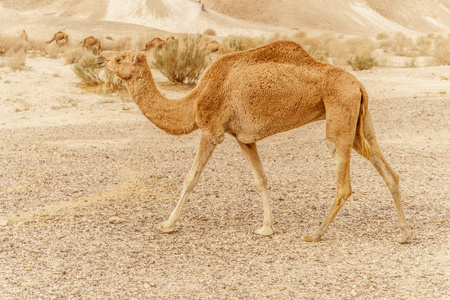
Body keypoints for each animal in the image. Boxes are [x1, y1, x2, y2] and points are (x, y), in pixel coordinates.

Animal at [96, 39, 414, 243]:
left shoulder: (212, 131)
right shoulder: (243, 138)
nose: (99, 57)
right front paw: (266, 228)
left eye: (119, 58)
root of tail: (358, 83)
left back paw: (315, 234)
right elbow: (260, 179)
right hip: (359, 121)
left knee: (344, 184)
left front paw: (167, 224)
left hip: (339, 116)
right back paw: (403, 234)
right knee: (388, 169)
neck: (195, 98)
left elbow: (190, 178)